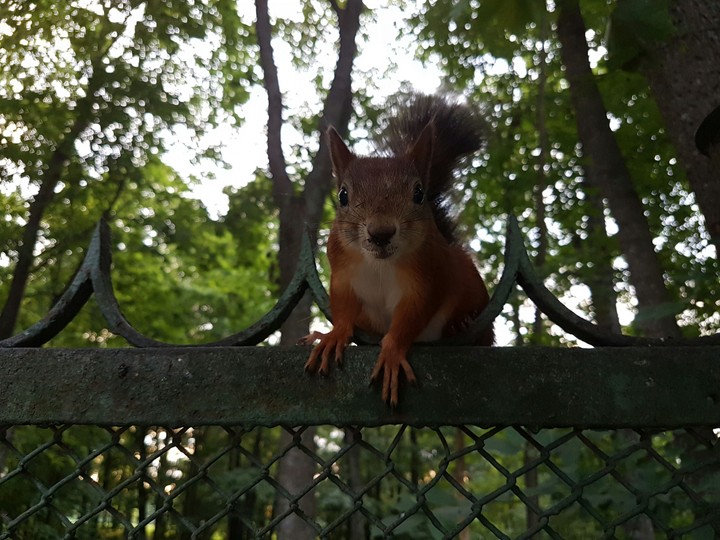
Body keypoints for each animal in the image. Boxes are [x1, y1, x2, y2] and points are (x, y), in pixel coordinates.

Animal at [300, 94, 494, 405]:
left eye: (419, 193)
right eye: (343, 195)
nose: (380, 233)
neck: (380, 264)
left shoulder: (427, 278)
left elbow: (411, 317)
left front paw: (391, 353)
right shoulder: (342, 275)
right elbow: (343, 309)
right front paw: (334, 335)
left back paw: (461, 324)